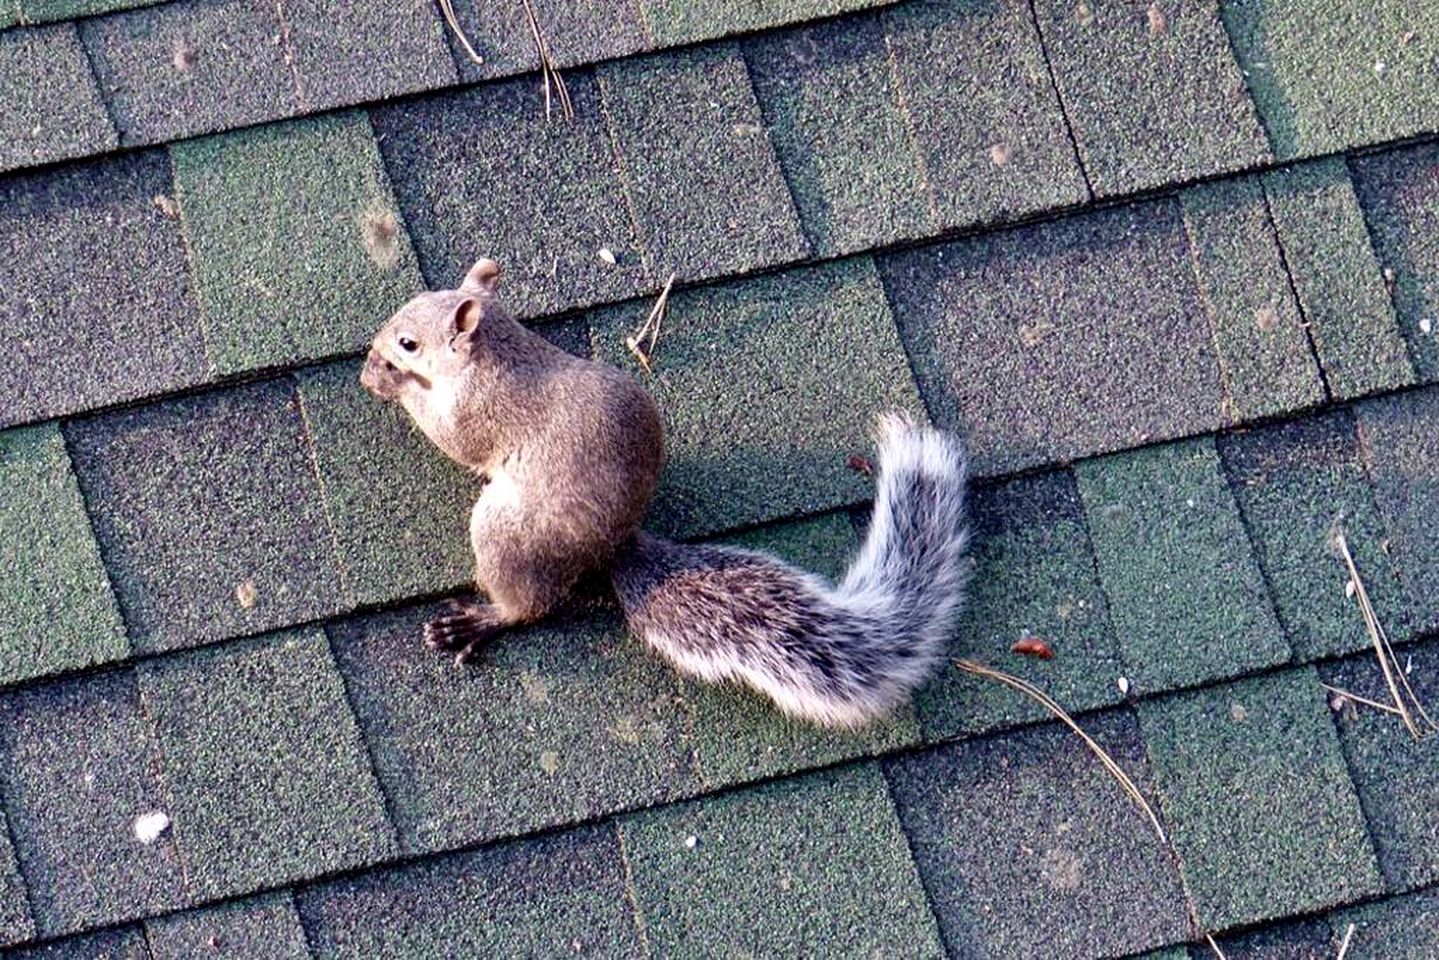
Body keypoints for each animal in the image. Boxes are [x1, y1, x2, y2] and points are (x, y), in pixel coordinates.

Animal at [359, 259, 972, 725]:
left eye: (409, 343)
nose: (374, 353)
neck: (497, 349)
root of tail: (611, 545)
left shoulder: (480, 409)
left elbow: (454, 439)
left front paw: (392, 382)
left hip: (508, 532)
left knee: (529, 606)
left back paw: (484, 619)